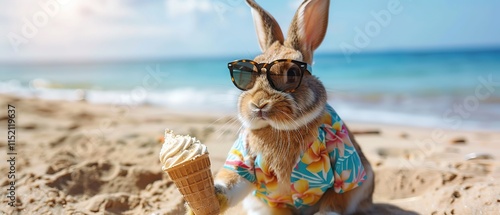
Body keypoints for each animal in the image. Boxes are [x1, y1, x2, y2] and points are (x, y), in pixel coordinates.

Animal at [188, 0, 376, 214]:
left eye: (292, 74)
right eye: (246, 74)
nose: (259, 103)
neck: (279, 129)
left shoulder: (346, 167)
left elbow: (336, 199)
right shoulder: (243, 155)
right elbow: (233, 180)